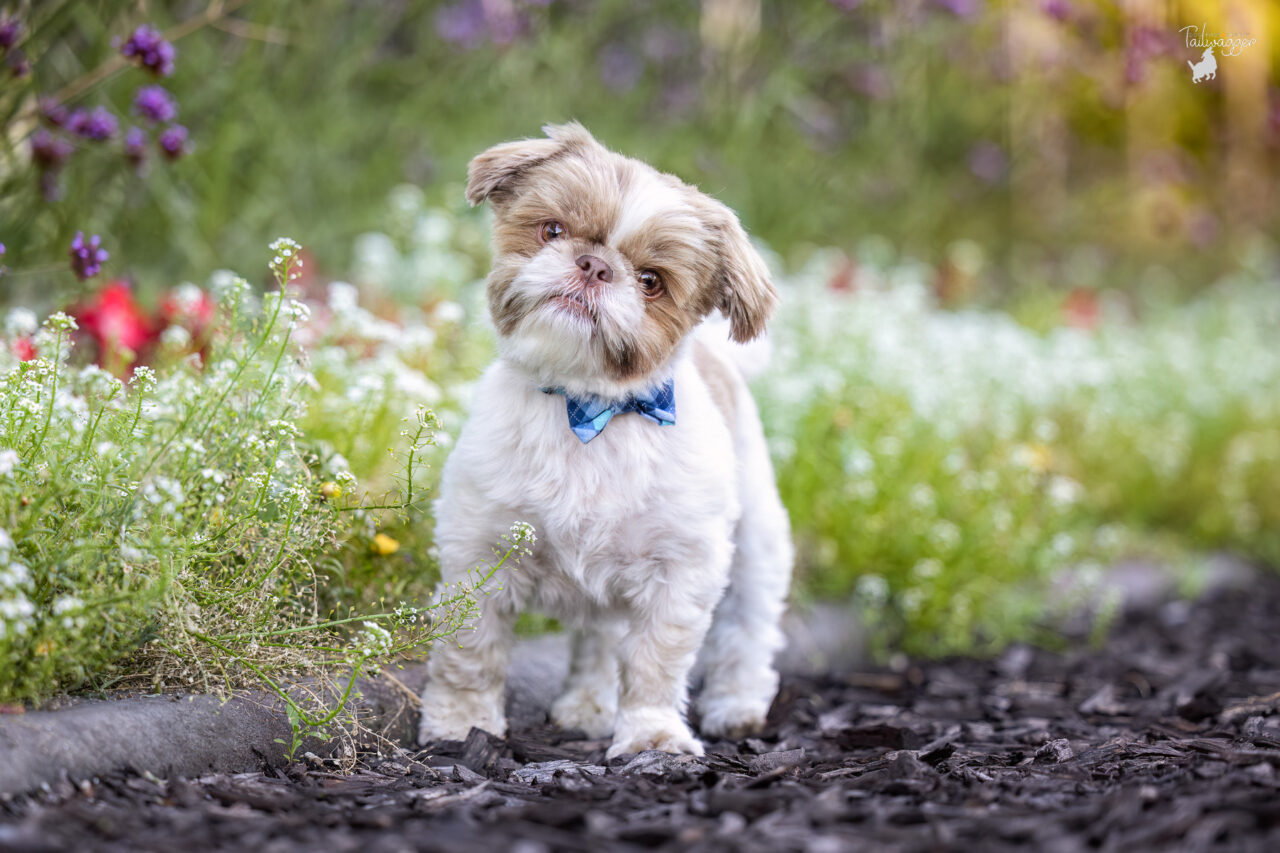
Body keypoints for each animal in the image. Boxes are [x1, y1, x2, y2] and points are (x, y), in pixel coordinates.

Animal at [419, 122, 793, 753]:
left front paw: (653, 736)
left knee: (747, 630)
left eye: (651, 282)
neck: (588, 408)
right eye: (552, 231)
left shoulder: (679, 571)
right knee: (599, 638)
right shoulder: (480, 549)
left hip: (757, 545)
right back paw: (589, 705)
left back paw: (736, 706)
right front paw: (460, 724)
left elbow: (655, 662)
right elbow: (471, 651)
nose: (594, 265)